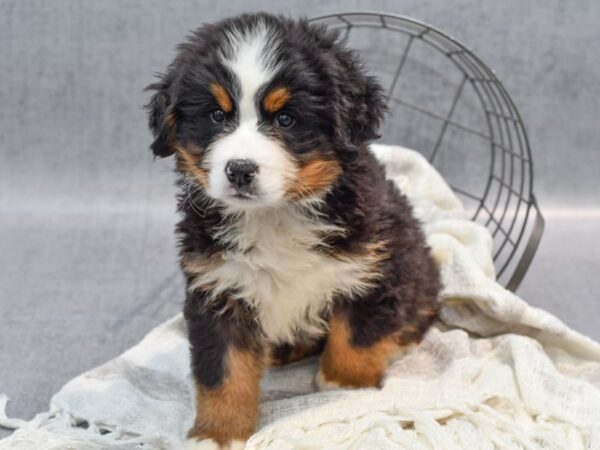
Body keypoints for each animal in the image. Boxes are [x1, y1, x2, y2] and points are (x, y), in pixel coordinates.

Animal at [146, 12, 440, 448]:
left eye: (285, 118)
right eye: (217, 115)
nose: (240, 170)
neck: (275, 217)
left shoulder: (375, 269)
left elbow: (358, 335)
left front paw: (346, 386)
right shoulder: (217, 287)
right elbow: (223, 368)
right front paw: (218, 432)